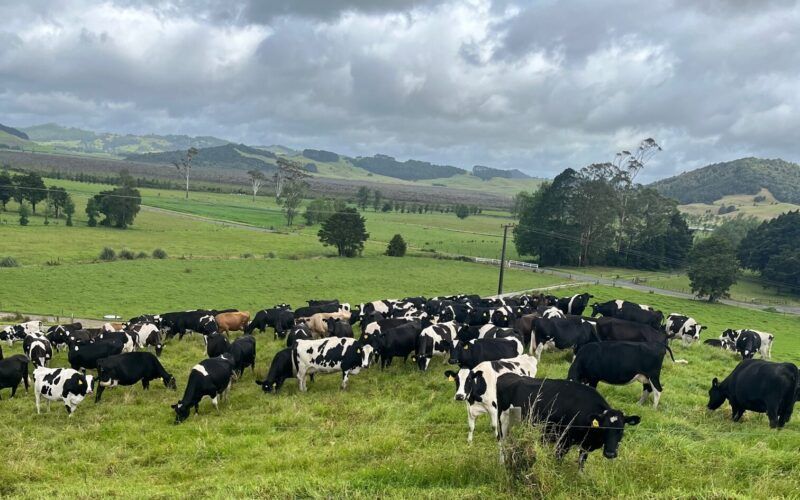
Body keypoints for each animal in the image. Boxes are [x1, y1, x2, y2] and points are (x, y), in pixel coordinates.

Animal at [496, 376, 640, 470]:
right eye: (603, 428)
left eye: (621, 430)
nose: (610, 454)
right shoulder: (564, 441)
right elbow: (558, 458)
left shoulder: (585, 444)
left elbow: (582, 461)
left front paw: (580, 477)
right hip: (502, 421)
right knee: (501, 442)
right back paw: (502, 463)